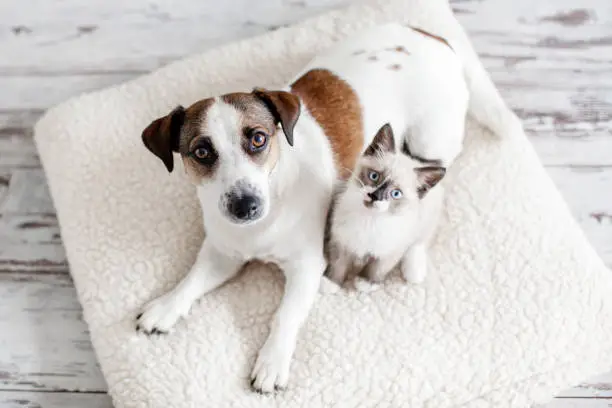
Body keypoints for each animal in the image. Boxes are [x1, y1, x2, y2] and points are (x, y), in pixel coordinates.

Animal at [326, 124, 444, 290]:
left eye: (395, 193)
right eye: (374, 176)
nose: (375, 196)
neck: (370, 220)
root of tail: (416, 161)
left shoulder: (390, 253)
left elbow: (375, 270)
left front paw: (365, 283)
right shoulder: (341, 242)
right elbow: (339, 266)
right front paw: (332, 284)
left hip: (425, 219)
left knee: (420, 242)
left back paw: (414, 271)